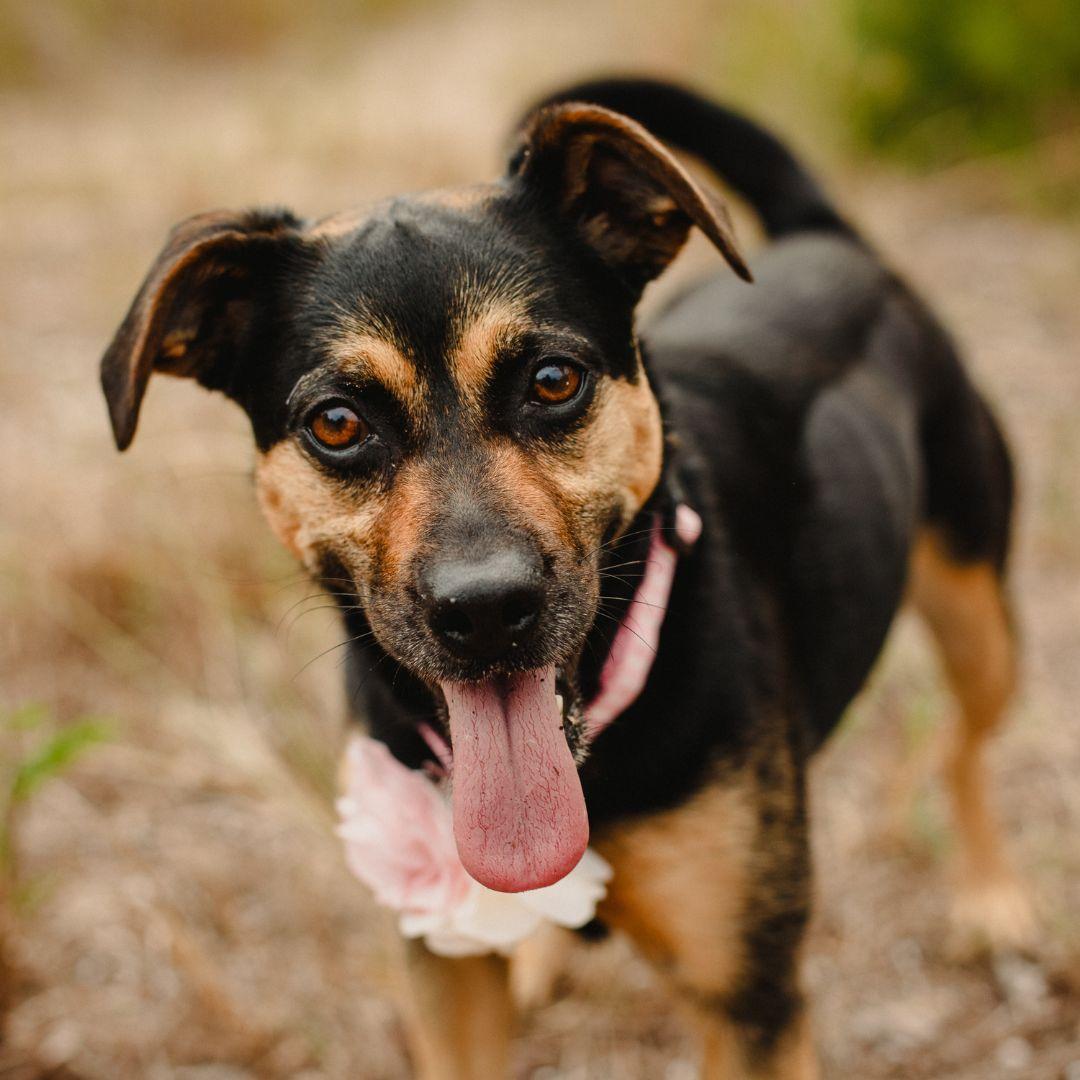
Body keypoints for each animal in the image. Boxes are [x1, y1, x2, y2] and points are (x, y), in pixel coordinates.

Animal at [99, 78, 1028, 1080]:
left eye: (552, 380)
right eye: (337, 424)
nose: (486, 610)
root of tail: (825, 238)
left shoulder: (748, 994)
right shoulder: (444, 972)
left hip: (978, 612)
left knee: (964, 746)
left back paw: (991, 895)